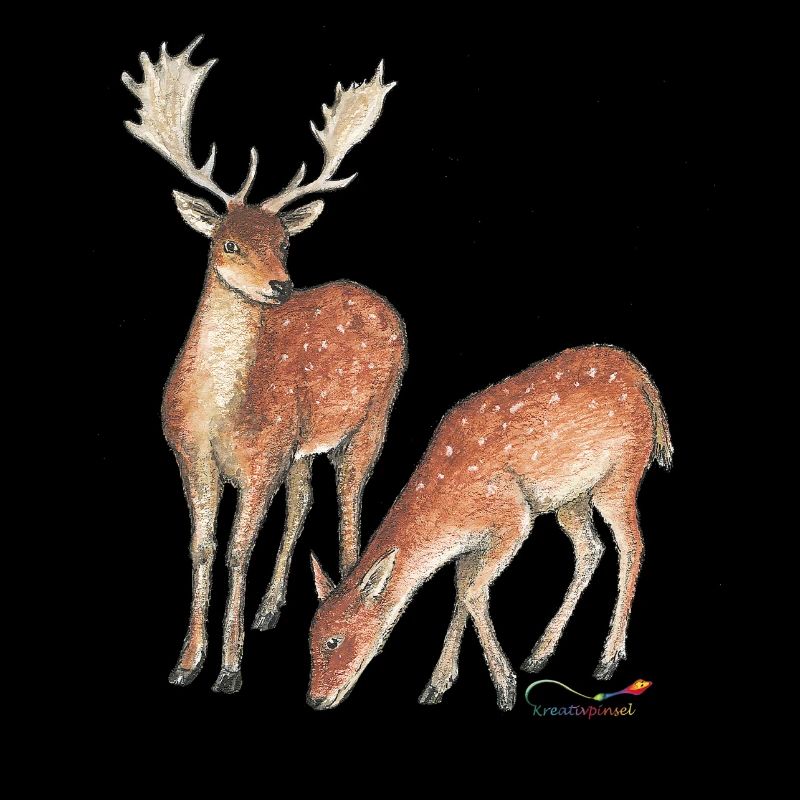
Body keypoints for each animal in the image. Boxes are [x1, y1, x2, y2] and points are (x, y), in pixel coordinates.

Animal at [122, 37, 407, 693]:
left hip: (372, 417)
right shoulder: (191, 455)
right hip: (300, 444)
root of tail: (378, 299)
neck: (219, 416)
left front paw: (229, 669)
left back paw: (344, 592)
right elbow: (203, 547)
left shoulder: (260, 460)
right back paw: (274, 608)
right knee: (304, 501)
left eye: (284, 242)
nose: (282, 285)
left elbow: (237, 550)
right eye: (228, 242)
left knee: (351, 499)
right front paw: (185, 662)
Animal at [306, 345, 672, 710]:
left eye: (333, 641)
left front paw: (505, 687)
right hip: (572, 498)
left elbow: (472, 593)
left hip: (621, 472)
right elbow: (461, 591)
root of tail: (643, 378)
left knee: (632, 544)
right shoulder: (471, 545)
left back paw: (608, 659)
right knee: (591, 548)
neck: (446, 509)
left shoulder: (512, 518)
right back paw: (539, 654)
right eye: (309, 636)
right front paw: (436, 686)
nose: (314, 699)